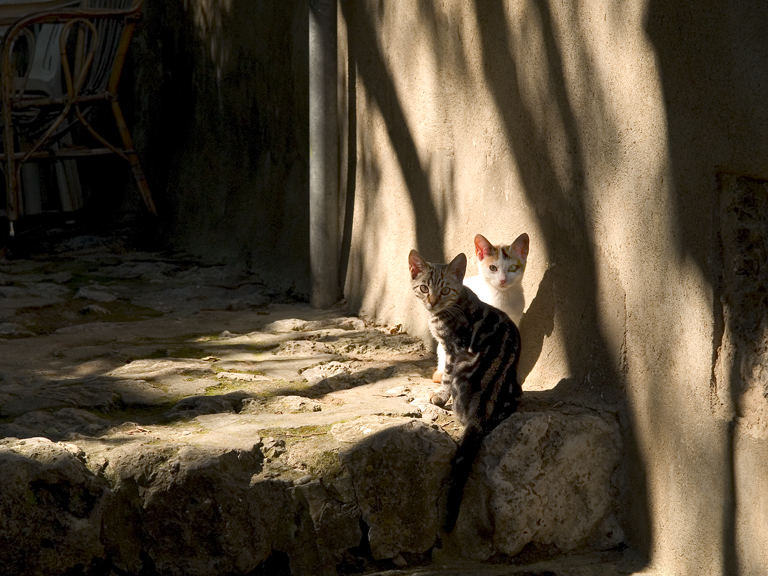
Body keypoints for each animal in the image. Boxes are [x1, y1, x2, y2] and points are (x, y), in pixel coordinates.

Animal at [408, 249, 520, 532]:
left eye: (445, 290)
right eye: (424, 288)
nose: (432, 302)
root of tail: (483, 412)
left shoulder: (452, 348)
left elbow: (446, 375)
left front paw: (439, 395)